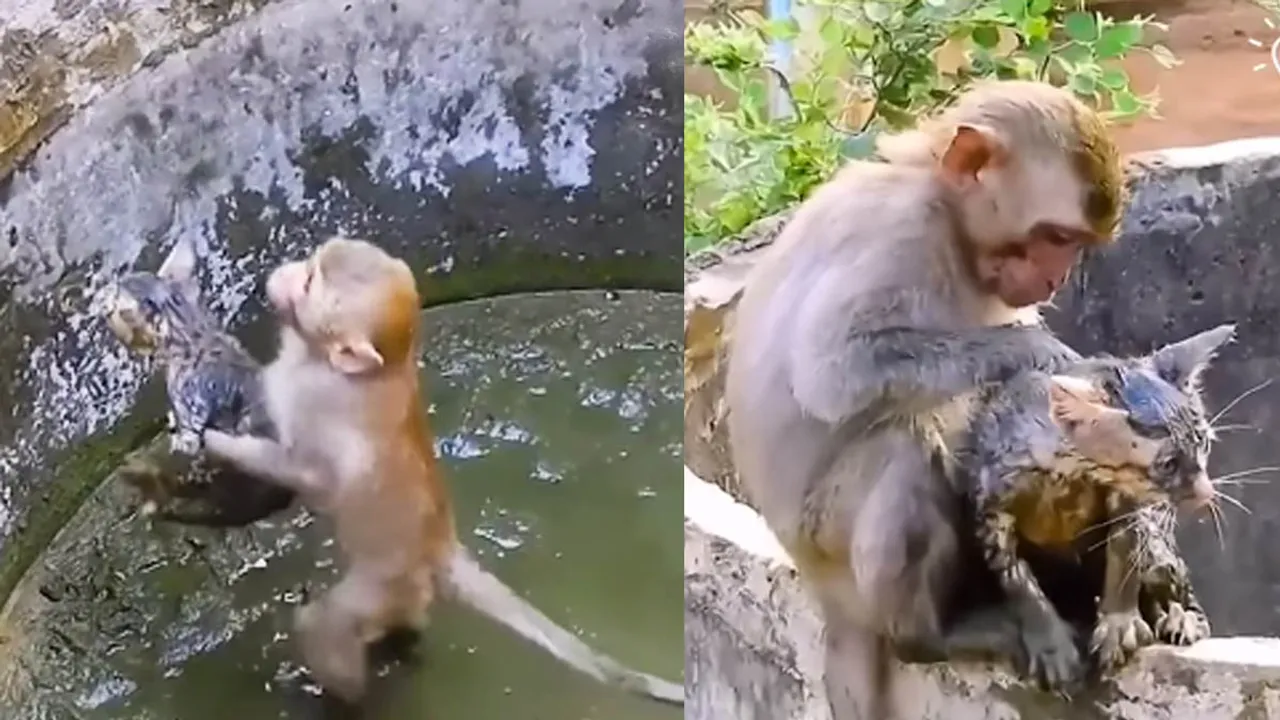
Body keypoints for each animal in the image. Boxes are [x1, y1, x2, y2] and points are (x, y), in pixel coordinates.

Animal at [198, 237, 684, 707]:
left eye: (309, 283)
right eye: (311, 264)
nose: (288, 271)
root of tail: (438, 543)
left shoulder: (314, 401)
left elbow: (313, 476)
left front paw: (221, 443)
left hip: (388, 580)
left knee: (325, 623)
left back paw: (343, 694)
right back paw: (403, 642)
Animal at [722, 80, 1127, 719]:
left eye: (1076, 245)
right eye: (1056, 237)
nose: (1057, 278)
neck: (950, 218)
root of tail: (819, 587)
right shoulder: (898, 233)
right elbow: (832, 368)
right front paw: (1037, 351)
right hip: (828, 541)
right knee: (903, 448)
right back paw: (929, 635)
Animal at [955, 324, 1231, 683]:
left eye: (1205, 445)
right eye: (1168, 464)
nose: (1206, 493)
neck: (1064, 475)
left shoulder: (1128, 503)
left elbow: (1125, 555)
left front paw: (1119, 625)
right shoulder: (990, 509)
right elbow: (1017, 581)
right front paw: (1051, 644)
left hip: (1160, 553)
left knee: (1182, 591)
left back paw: (1180, 618)